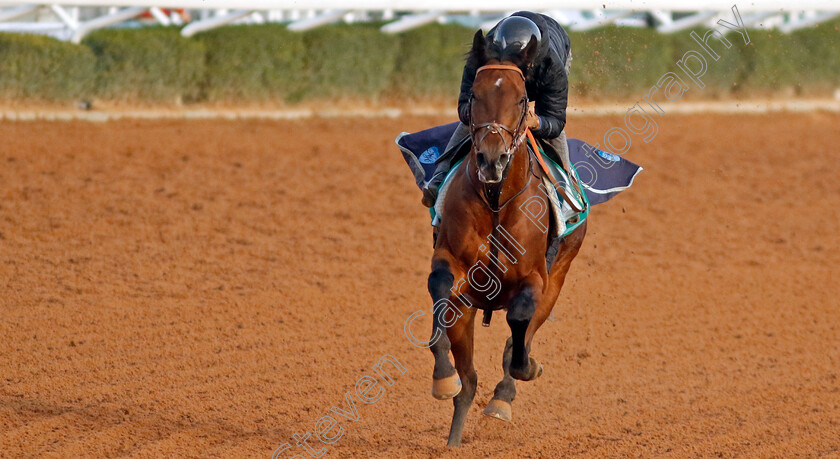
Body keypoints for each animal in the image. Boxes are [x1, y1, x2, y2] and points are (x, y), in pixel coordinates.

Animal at [426, 30, 584, 448]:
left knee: (521, 333)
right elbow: (440, 286)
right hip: (467, 310)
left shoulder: (537, 278)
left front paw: (524, 372)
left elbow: (519, 321)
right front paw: (442, 377)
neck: (497, 200)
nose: (491, 159)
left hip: (559, 276)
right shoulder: (453, 264)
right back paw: (453, 438)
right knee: (468, 381)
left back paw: (503, 396)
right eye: (474, 95)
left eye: (521, 99)